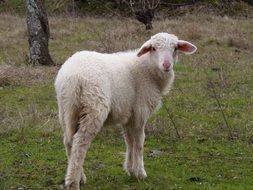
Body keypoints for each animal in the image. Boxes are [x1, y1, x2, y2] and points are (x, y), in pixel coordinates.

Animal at [54, 32, 198, 190]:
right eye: (153, 48)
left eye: (175, 48)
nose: (167, 65)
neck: (147, 68)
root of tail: (73, 78)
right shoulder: (140, 112)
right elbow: (139, 142)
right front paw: (140, 172)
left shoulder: (128, 114)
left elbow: (129, 141)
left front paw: (130, 169)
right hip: (93, 107)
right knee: (80, 142)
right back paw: (73, 182)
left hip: (67, 110)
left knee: (69, 141)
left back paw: (79, 176)